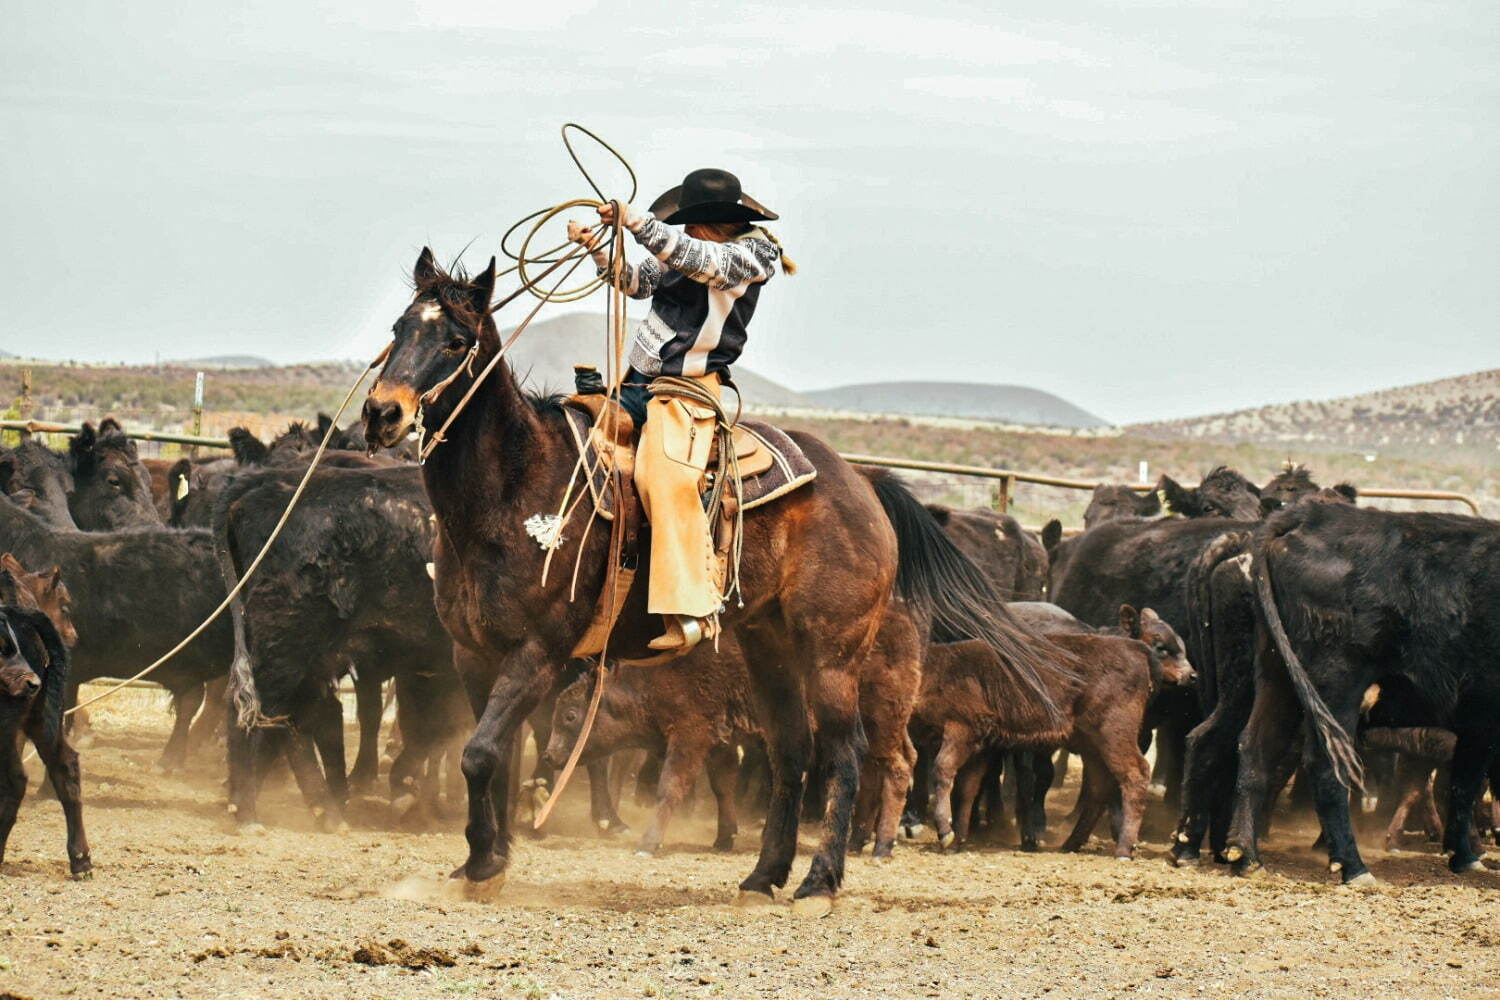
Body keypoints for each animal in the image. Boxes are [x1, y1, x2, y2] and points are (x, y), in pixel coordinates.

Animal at [364, 248, 1062, 905]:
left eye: (456, 340)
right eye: (398, 328)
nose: (381, 414)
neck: (516, 489)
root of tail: (861, 481)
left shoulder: (541, 652)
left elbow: (480, 754)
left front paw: (485, 865)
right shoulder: (475, 653)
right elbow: (494, 759)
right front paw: (483, 861)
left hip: (832, 653)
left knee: (847, 753)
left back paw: (820, 882)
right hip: (770, 646)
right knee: (791, 753)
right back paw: (764, 875)